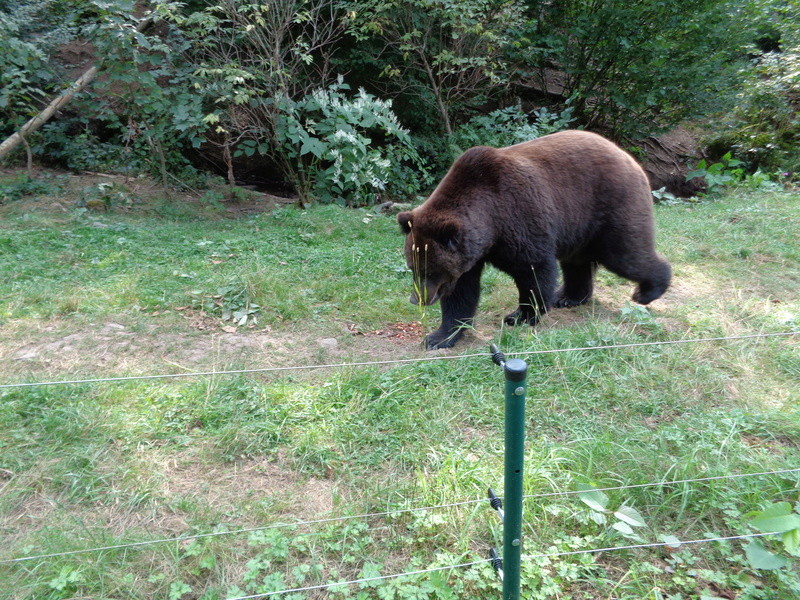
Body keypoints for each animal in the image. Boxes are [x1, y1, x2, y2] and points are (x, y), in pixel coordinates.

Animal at [398, 129, 668, 350]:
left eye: (430, 270)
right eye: (413, 267)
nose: (416, 298)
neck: (490, 223)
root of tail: (626, 155)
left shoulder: (519, 216)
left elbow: (533, 270)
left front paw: (521, 316)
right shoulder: (470, 256)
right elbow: (461, 293)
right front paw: (439, 337)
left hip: (610, 204)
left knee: (625, 255)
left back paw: (647, 291)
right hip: (579, 226)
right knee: (577, 262)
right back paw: (568, 297)